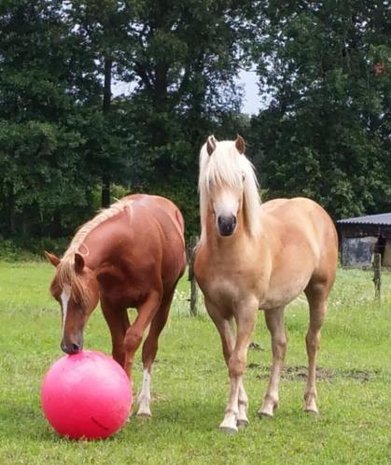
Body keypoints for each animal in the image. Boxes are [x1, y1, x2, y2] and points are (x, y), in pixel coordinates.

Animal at [46, 194, 187, 416]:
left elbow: (133, 341)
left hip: (165, 301)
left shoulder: (152, 300)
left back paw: (144, 405)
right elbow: (119, 346)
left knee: (150, 347)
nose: (69, 346)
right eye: (57, 297)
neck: (126, 246)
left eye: (80, 299)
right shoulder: (110, 304)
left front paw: (131, 405)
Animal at [194, 134, 338, 432]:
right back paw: (268, 405)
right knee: (280, 345)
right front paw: (242, 410)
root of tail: (316, 210)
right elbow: (229, 354)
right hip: (276, 305)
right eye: (211, 180)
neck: (233, 251)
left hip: (319, 293)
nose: (227, 223)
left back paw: (310, 404)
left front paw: (230, 419)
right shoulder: (216, 310)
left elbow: (238, 360)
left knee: (312, 342)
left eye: (241, 177)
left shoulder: (247, 308)